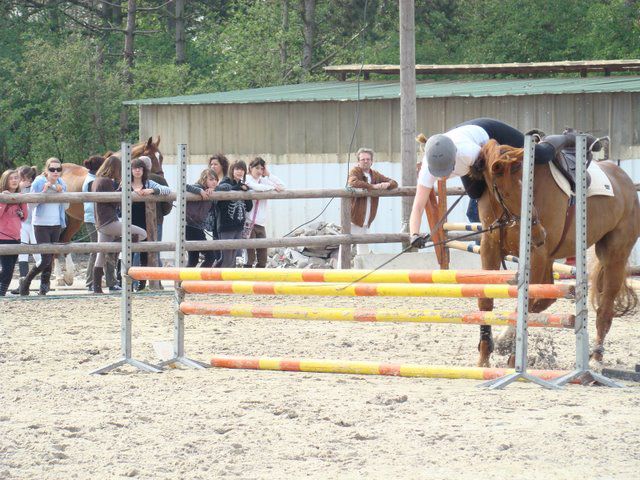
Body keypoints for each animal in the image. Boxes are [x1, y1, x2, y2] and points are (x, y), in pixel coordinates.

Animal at [55, 137, 164, 286]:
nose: (162, 178)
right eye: (150, 157)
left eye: (161, 157)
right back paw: (59, 278)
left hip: (75, 220)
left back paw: (69, 276)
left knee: (64, 240)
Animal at [473, 139, 640, 368]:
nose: (539, 233)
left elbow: (526, 301)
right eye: (508, 192)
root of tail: (626, 181)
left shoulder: (537, 255)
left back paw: (596, 359)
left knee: (604, 311)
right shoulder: (490, 249)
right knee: (546, 298)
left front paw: (512, 354)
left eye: (526, 189)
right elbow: (485, 302)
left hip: (614, 257)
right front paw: (484, 359)